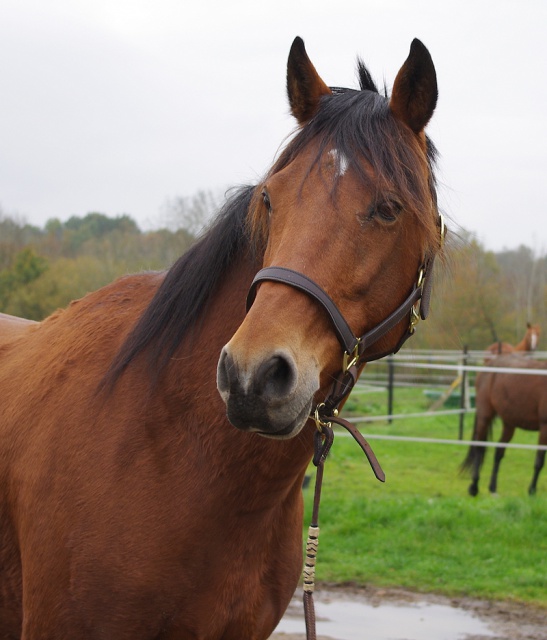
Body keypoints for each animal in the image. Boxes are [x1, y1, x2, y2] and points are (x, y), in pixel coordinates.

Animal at [462, 356, 547, 496]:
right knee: (479, 447)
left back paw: (492, 488)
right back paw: (474, 487)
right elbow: (539, 461)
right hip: (485, 415)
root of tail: (489, 365)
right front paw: (532, 490)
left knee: (499, 451)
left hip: (509, 423)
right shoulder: (544, 427)